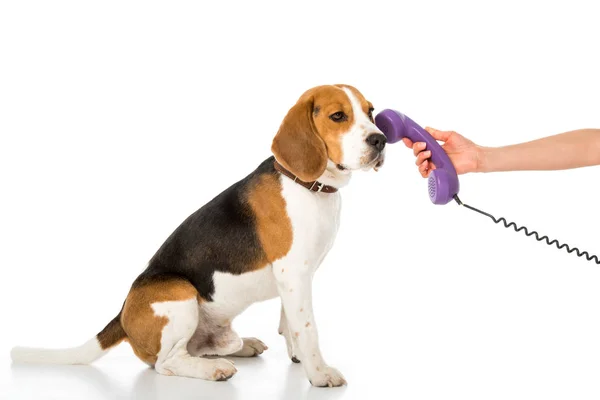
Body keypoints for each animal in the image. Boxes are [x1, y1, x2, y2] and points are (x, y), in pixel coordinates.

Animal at [11, 83, 386, 388]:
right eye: (338, 116)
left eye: (371, 111)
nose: (380, 139)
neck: (308, 186)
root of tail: (122, 315)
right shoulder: (294, 274)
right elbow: (307, 329)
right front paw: (320, 374)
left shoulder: (295, 279)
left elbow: (290, 321)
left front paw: (298, 358)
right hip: (180, 294)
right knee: (166, 363)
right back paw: (214, 370)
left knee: (202, 347)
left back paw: (240, 347)